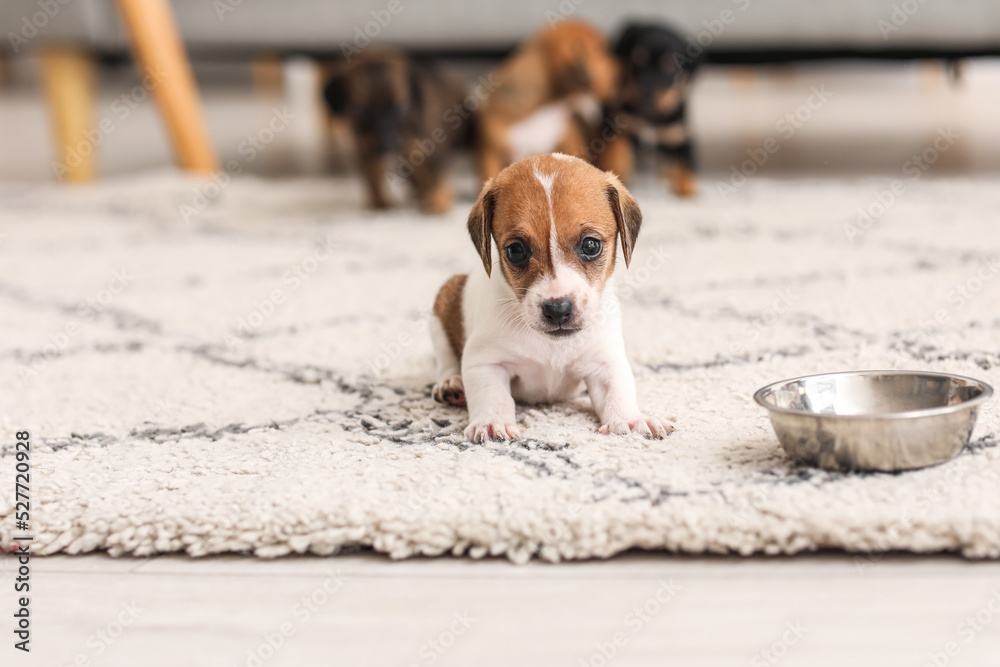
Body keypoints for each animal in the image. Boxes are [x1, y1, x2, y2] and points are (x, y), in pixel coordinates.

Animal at [324, 52, 472, 214]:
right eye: (359, 111)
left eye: (401, 105)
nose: (387, 142)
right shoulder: (367, 149)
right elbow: (373, 175)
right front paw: (378, 203)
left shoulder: (432, 149)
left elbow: (435, 176)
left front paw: (436, 205)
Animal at [430, 152, 672, 444]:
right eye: (515, 250)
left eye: (591, 245)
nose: (557, 310)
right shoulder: (485, 361)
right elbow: (493, 396)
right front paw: (492, 423)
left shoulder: (605, 361)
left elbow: (618, 391)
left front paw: (630, 420)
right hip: (443, 304)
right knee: (445, 358)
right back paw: (451, 383)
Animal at [596, 21, 700, 198]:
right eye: (637, 58)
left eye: (669, 64)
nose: (646, 93)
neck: (650, 116)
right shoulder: (617, 122)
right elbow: (618, 149)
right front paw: (621, 170)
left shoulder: (680, 137)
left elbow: (686, 164)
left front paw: (686, 186)